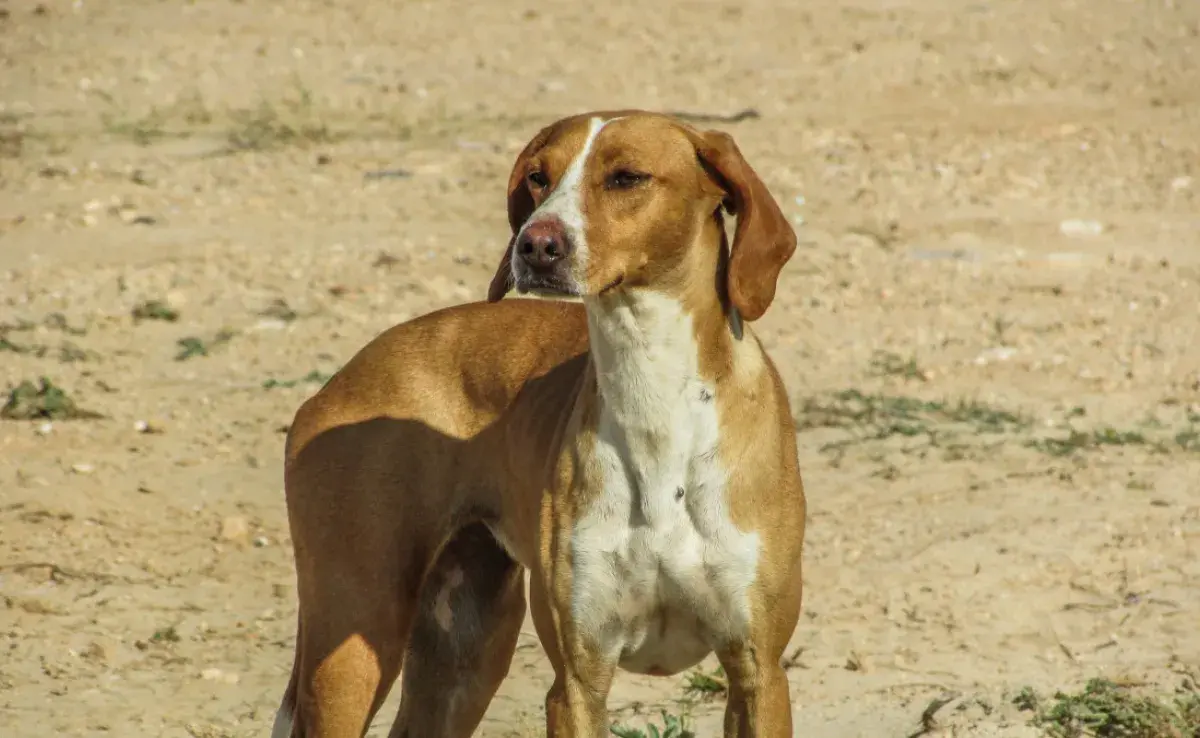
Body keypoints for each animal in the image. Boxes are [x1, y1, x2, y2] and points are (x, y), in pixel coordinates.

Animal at [272, 111, 806, 738]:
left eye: (626, 177)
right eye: (537, 177)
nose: (536, 244)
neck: (653, 391)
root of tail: (340, 380)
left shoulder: (759, 673)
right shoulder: (577, 680)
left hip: (463, 650)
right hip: (354, 638)